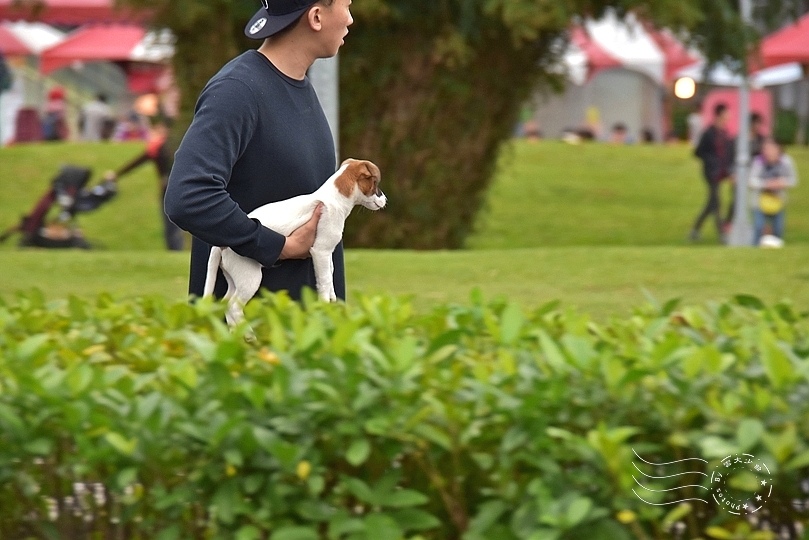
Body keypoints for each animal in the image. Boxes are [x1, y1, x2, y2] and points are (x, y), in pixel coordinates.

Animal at [204, 158, 384, 326]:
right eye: (375, 183)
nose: (385, 199)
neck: (333, 198)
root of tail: (221, 246)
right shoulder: (320, 251)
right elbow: (324, 280)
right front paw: (324, 306)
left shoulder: (327, 253)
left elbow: (330, 271)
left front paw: (332, 296)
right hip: (249, 278)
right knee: (234, 307)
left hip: (234, 278)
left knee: (226, 304)